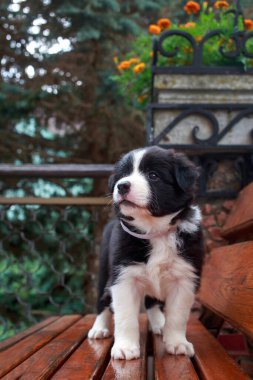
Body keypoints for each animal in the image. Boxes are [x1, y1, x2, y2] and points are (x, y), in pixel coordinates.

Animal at [88, 147, 205, 360]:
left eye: (153, 175)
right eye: (123, 175)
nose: (121, 186)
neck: (154, 230)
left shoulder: (185, 278)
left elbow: (178, 315)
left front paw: (177, 343)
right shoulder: (123, 277)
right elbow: (126, 316)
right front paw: (125, 347)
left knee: (152, 301)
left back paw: (159, 323)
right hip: (104, 272)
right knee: (103, 301)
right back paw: (99, 328)